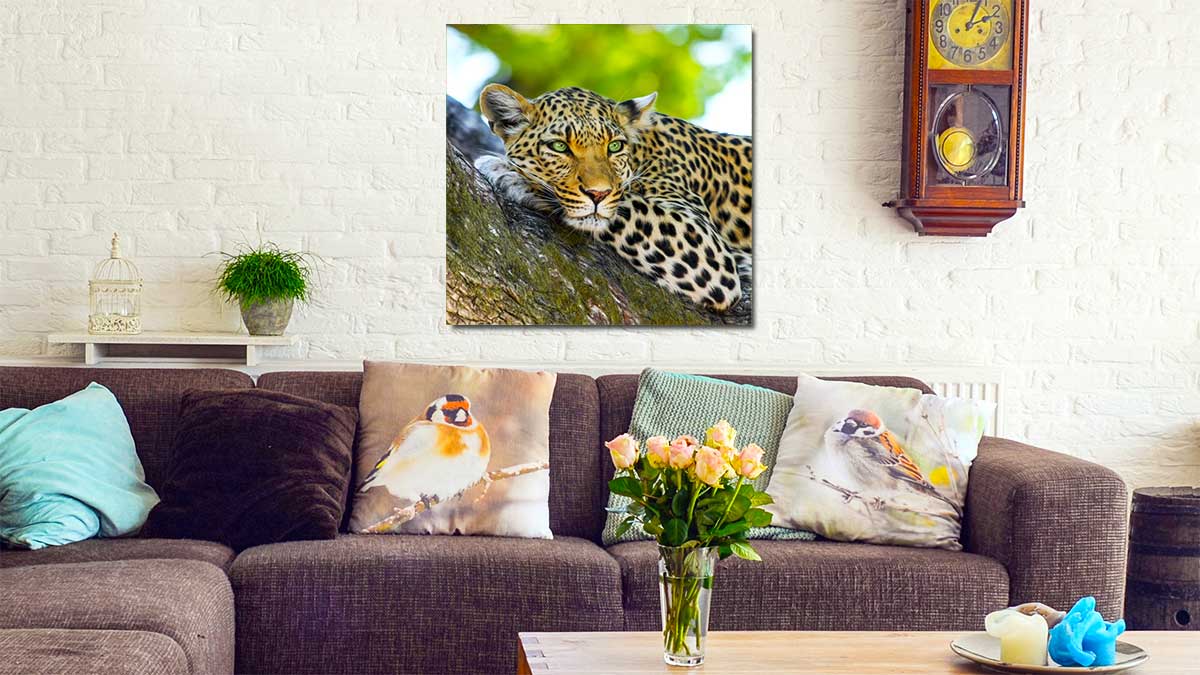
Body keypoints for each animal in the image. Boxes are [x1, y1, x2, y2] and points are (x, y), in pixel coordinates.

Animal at [475, 84, 748, 312]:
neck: (643, 151)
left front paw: (511, 175)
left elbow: (624, 205)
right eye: (559, 147)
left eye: (614, 147)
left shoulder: (707, 246)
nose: (598, 194)